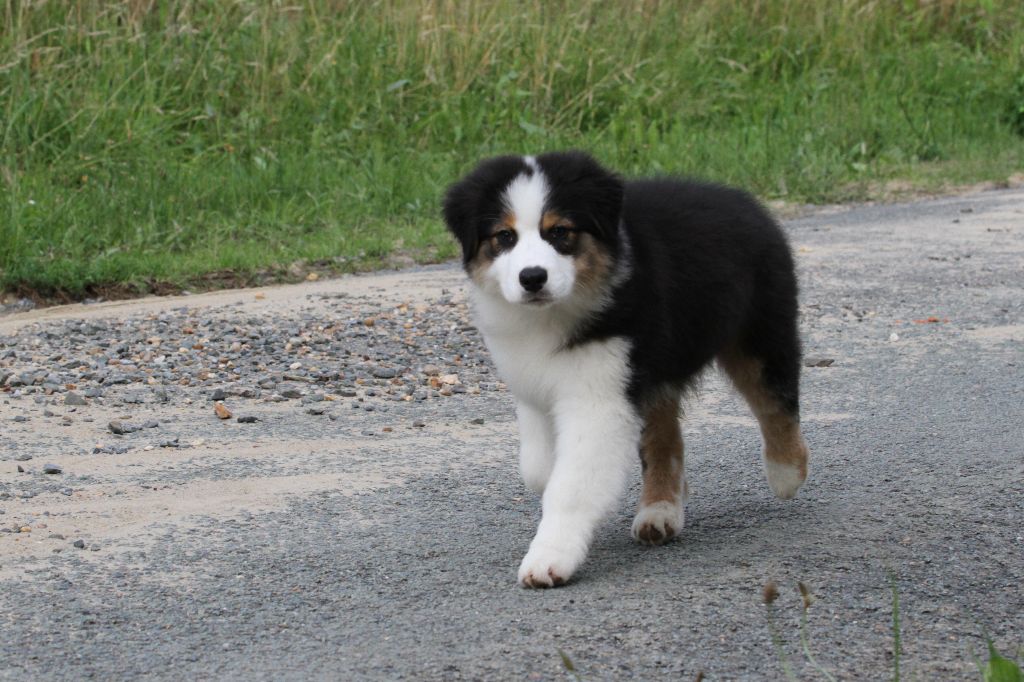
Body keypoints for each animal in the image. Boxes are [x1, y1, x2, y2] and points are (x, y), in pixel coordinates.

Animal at [440, 151, 806, 585]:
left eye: (560, 231)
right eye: (504, 237)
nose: (532, 278)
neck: (552, 315)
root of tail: (742, 198)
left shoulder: (600, 393)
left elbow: (572, 483)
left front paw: (549, 558)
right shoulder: (534, 386)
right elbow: (537, 467)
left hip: (758, 331)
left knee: (775, 401)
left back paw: (787, 472)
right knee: (666, 439)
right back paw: (661, 510)